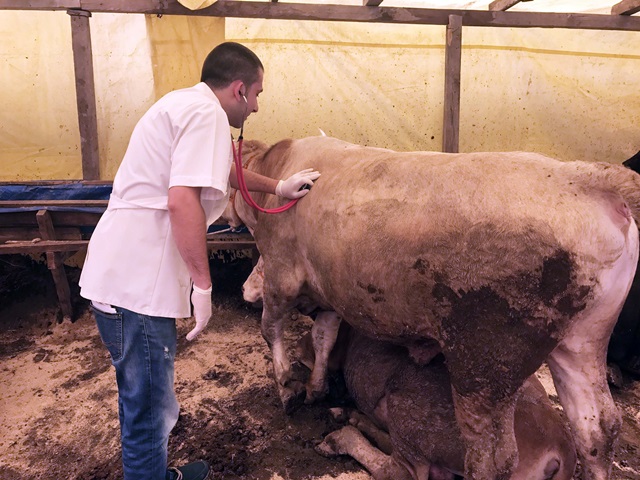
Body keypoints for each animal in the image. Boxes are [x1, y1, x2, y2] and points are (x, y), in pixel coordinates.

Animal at [224, 136, 640, 479]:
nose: (244, 290)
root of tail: (584, 176)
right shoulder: (330, 289)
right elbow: (324, 336)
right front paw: (315, 388)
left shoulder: (281, 270)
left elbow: (271, 327)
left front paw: (287, 388)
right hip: (582, 339)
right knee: (598, 428)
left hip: (485, 365)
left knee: (491, 459)